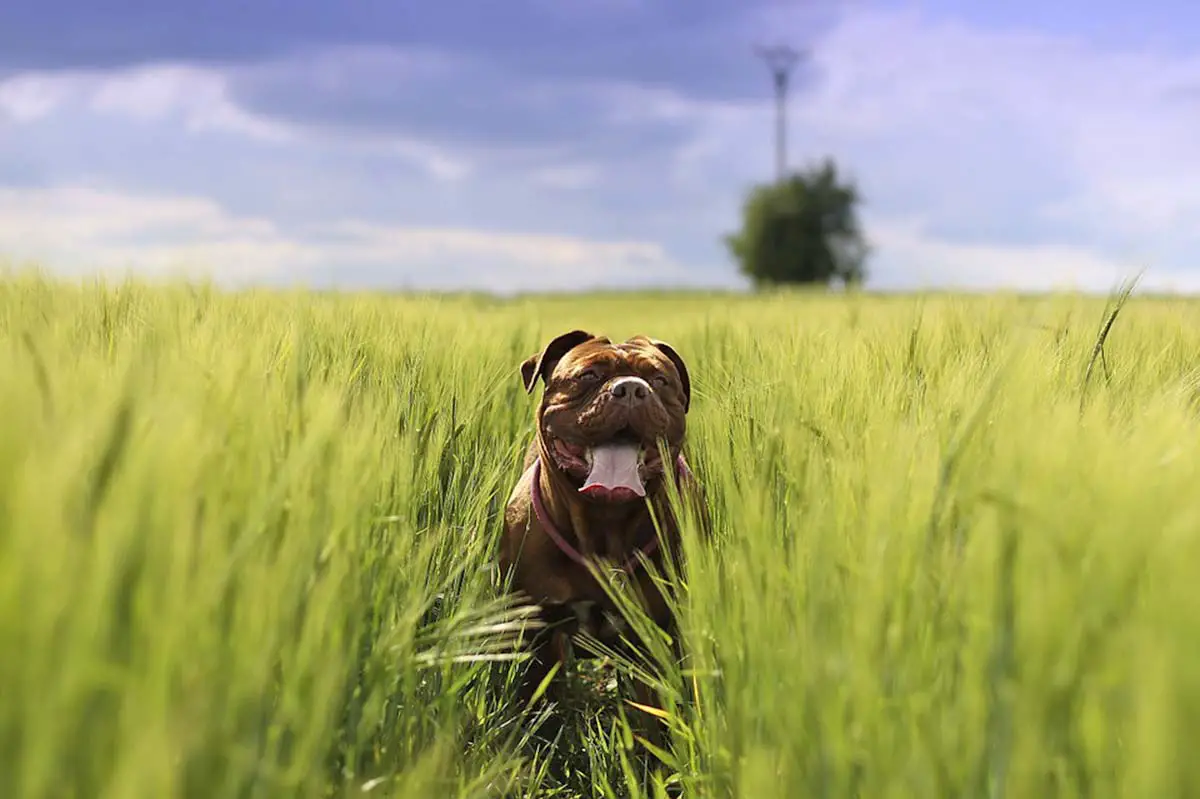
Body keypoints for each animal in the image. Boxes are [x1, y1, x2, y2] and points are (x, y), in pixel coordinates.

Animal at [496, 326, 700, 739]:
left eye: (659, 380)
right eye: (588, 375)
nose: (631, 389)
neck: (603, 527)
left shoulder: (656, 637)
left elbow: (652, 720)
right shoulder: (538, 631)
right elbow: (537, 703)